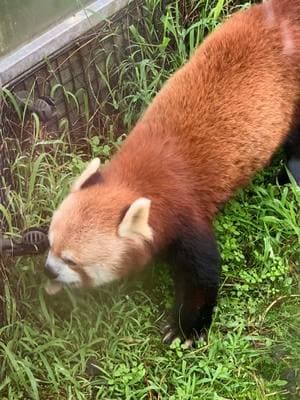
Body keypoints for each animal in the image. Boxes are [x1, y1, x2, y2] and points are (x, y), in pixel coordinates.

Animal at [45, 0, 300, 344]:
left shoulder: (184, 215)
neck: (135, 179)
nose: (48, 270)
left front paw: (185, 328)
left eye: (71, 260)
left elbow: (202, 273)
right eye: (50, 245)